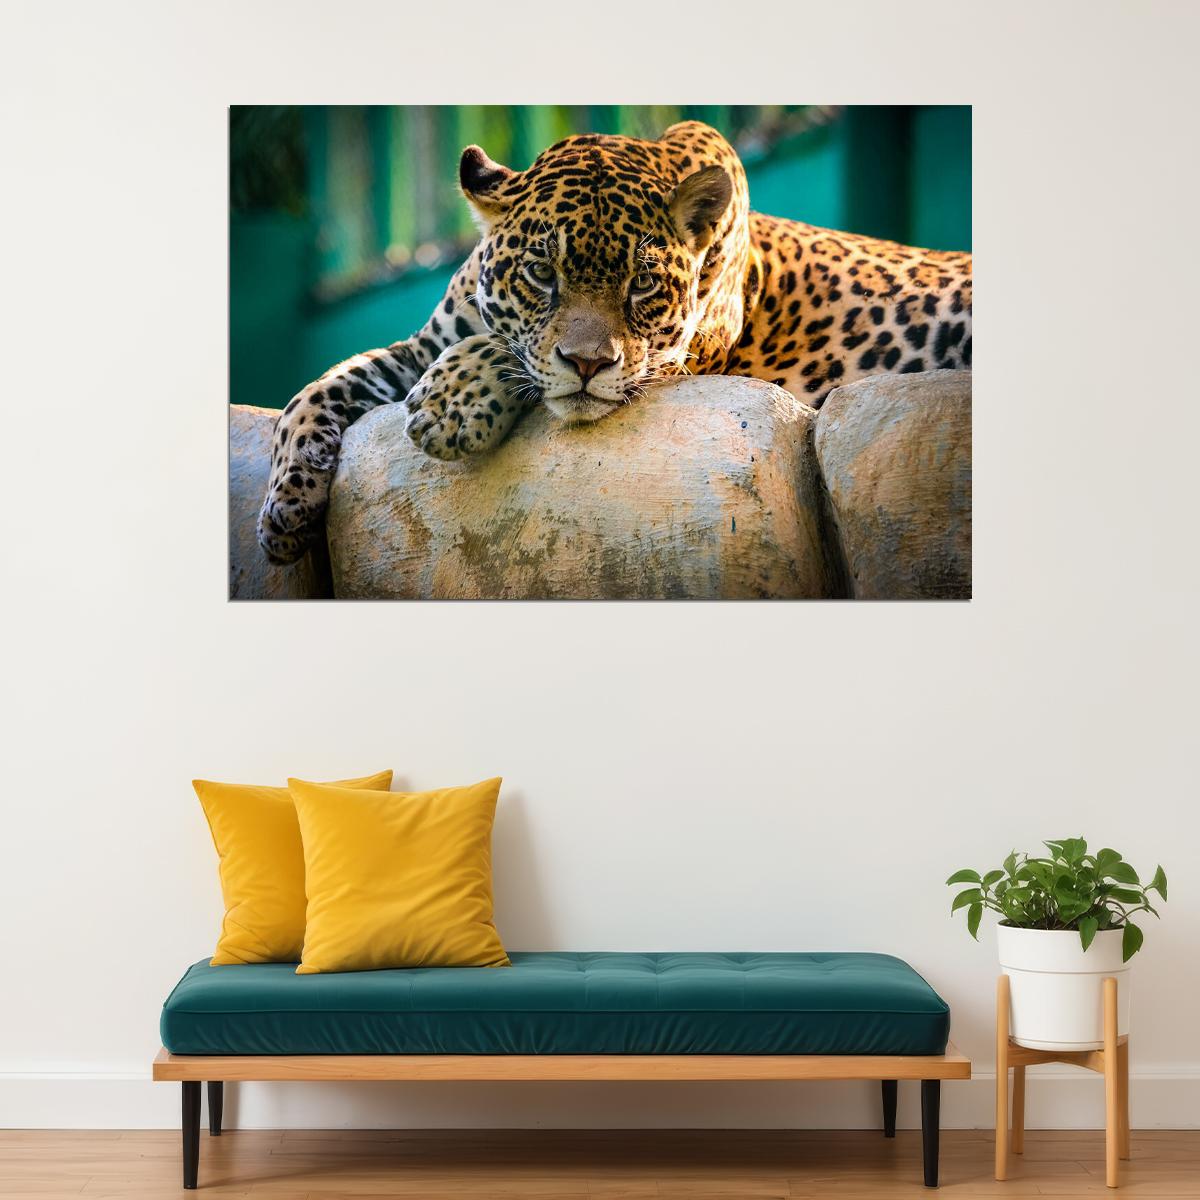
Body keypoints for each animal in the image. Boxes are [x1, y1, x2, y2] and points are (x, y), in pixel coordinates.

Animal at [257, 120, 971, 564]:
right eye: (542, 273)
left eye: (643, 282)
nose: (589, 363)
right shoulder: (422, 344)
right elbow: (315, 390)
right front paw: (283, 510)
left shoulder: (681, 355)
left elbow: (511, 354)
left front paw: (449, 407)